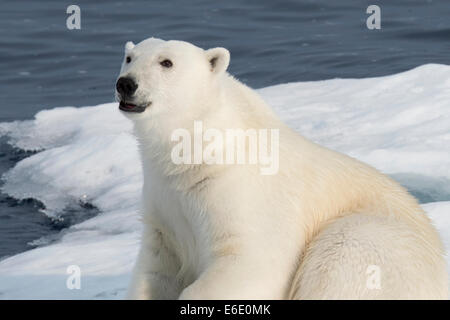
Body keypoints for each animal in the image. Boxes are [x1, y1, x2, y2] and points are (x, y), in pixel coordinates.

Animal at [116, 37, 446, 300]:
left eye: (166, 62)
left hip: (374, 245)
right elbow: (156, 269)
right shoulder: (165, 202)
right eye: (130, 58)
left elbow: (251, 262)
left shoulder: (241, 192)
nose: (126, 84)